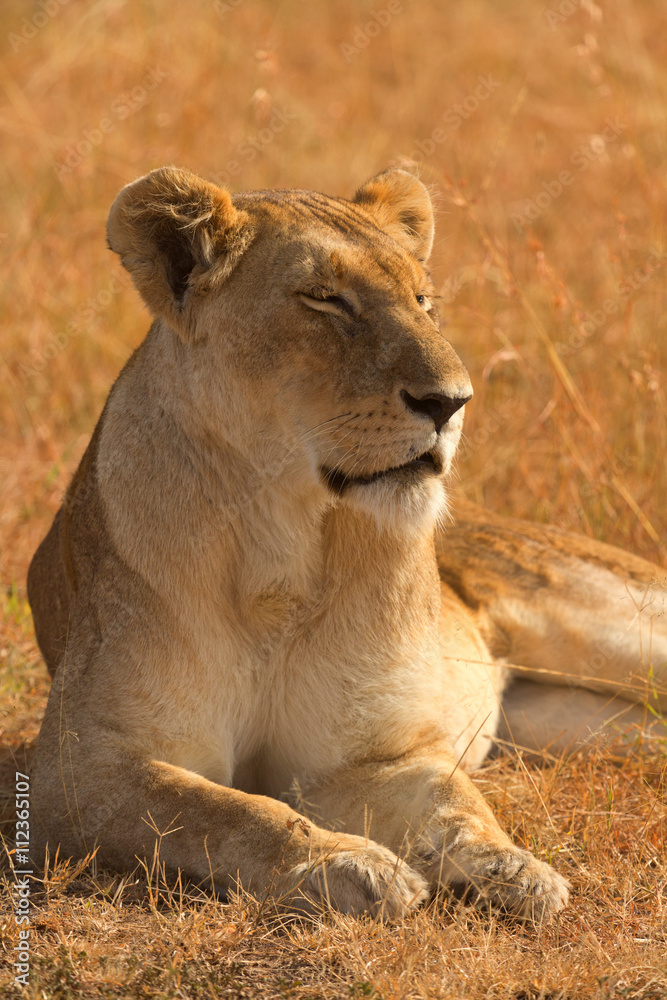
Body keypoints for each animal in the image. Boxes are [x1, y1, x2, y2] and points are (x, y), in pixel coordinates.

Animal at [27, 166, 666, 921]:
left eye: (423, 301)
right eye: (325, 299)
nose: (452, 402)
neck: (281, 540)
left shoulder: (372, 755)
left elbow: (452, 799)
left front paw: (513, 868)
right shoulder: (79, 768)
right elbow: (223, 811)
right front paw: (349, 864)